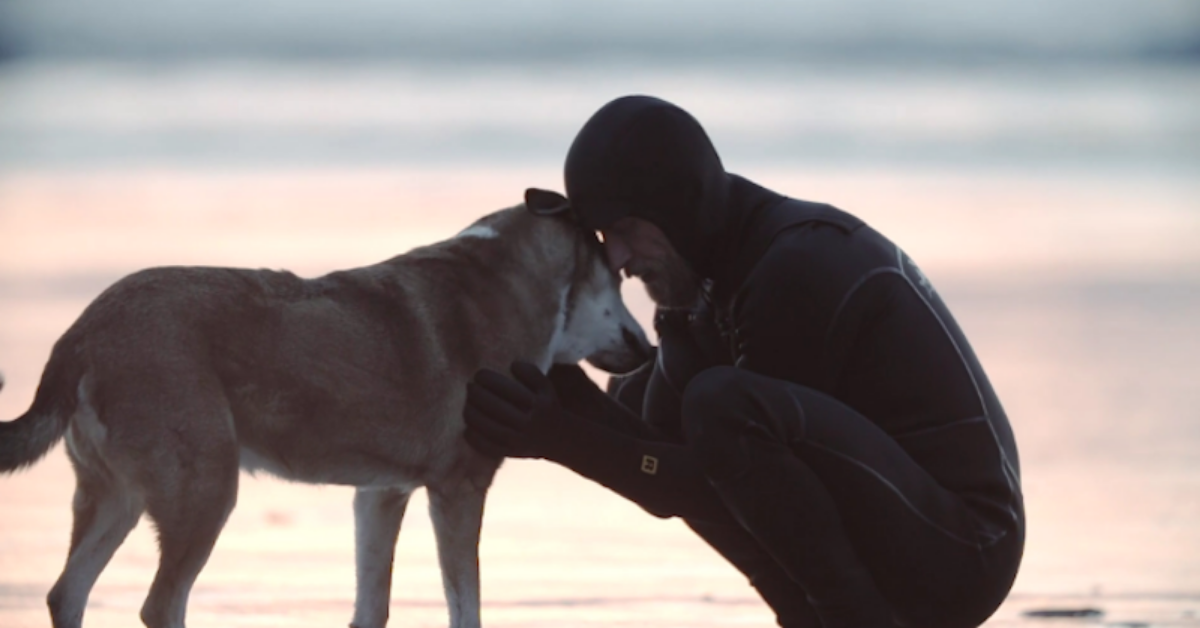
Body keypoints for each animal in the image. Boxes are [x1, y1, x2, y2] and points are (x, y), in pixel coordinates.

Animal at [0, 200, 648, 628]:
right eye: (618, 280)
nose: (647, 348)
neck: (511, 284)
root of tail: (82, 332)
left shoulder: (381, 494)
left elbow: (372, 607)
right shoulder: (459, 489)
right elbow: (466, 608)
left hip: (118, 498)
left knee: (66, 594)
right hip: (205, 490)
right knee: (159, 604)